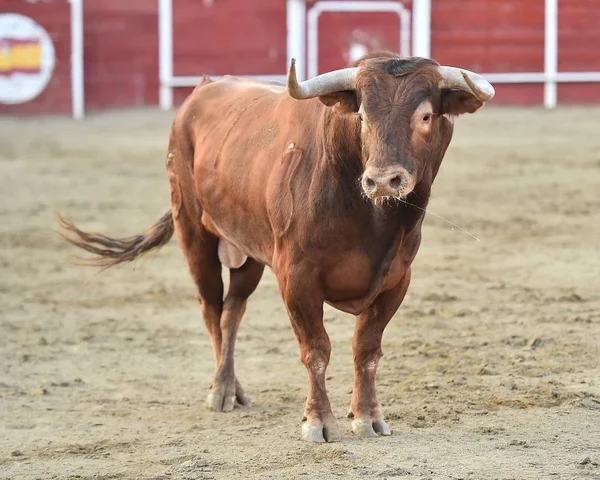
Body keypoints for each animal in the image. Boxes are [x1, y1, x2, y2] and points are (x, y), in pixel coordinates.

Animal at [58, 52, 494, 442]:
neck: (371, 216)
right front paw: (318, 422)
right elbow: (316, 349)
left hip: (248, 252)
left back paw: (232, 387)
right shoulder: (297, 278)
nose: (384, 181)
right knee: (211, 308)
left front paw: (369, 417)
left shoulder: (396, 281)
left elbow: (366, 350)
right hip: (193, 232)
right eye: (362, 117)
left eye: (426, 116)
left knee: (232, 311)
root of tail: (203, 91)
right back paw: (221, 391)